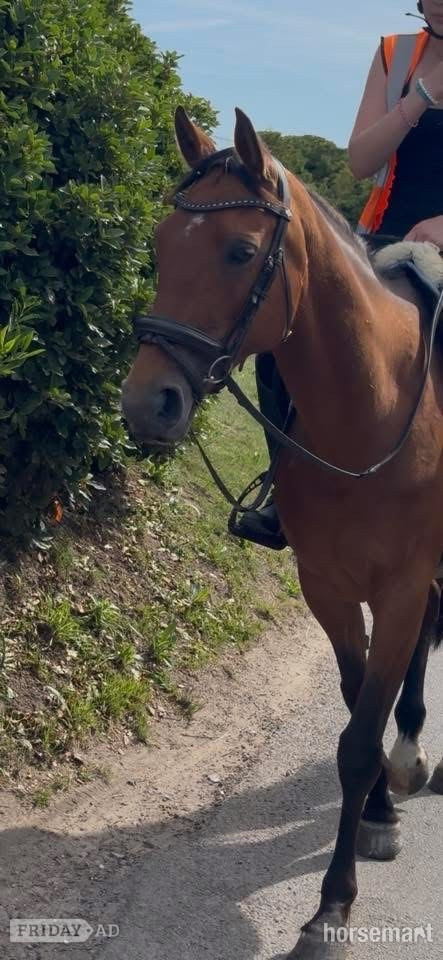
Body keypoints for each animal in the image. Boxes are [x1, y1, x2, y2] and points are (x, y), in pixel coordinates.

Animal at [122, 106, 443, 958]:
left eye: (239, 251)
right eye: (159, 244)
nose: (146, 404)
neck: (370, 413)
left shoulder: (398, 587)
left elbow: (361, 735)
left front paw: (332, 906)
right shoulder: (326, 586)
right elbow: (355, 712)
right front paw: (377, 813)